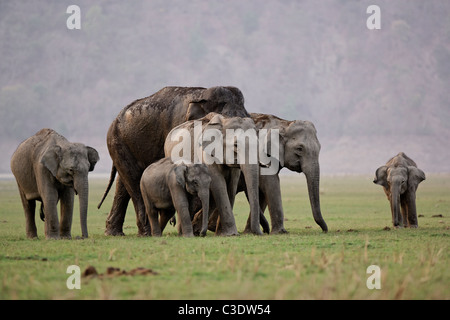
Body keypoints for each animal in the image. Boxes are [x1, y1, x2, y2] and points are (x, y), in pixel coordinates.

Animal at [98, 86, 251, 236]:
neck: (203, 94)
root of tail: (115, 119)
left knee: (124, 182)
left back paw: (114, 233)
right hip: (117, 142)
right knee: (134, 182)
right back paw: (146, 232)